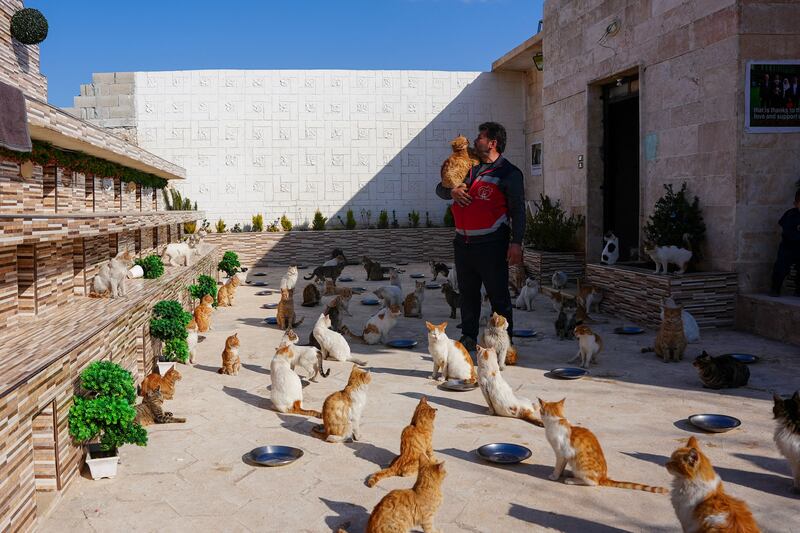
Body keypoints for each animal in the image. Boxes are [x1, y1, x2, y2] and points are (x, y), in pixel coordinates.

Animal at [536, 396, 668, 492]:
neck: (557, 420)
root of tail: (603, 477)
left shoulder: (561, 453)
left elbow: (558, 466)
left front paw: (555, 476)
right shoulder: (565, 456)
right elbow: (562, 466)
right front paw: (562, 473)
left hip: (581, 466)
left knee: (594, 483)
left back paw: (572, 480)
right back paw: (571, 474)